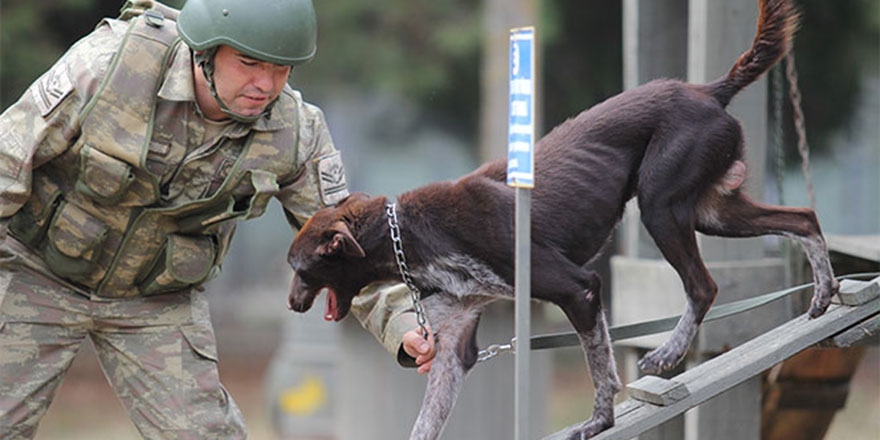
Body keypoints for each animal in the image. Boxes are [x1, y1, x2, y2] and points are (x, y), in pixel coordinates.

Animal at [286, 1, 836, 438]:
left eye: (300, 267)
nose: (291, 304)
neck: (411, 234)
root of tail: (707, 90)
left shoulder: (580, 287)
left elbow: (600, 369)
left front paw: (599, 421)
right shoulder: (454, 347)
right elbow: (425, 422)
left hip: (662, 207)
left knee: (703, 285)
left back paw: (667, 353)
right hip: (713, 211)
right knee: (804, 218)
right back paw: (824, 294)